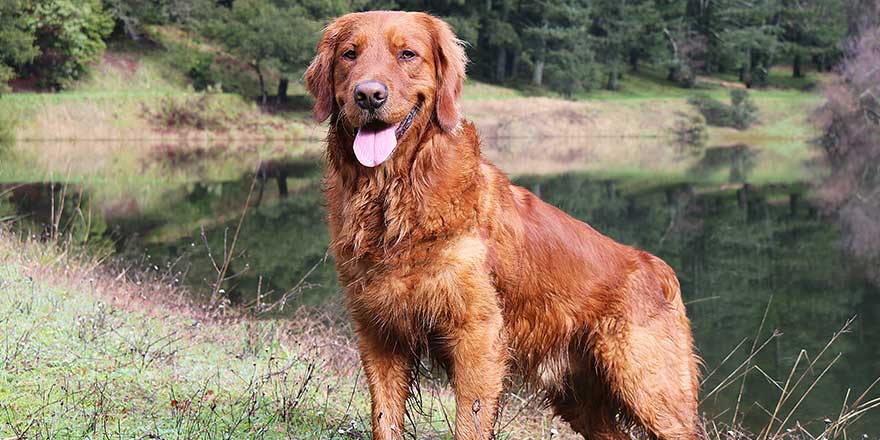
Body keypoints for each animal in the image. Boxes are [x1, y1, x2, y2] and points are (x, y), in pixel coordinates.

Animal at [302, 10, 700, 440]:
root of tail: (659, 268)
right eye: (349, 54)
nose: (369, 95)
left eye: (407, 54)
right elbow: (384, 421)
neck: (395, 196)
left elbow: (469, 423)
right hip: (581, 400)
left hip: (651, 390)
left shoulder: (476, 336)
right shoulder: (379, 333)